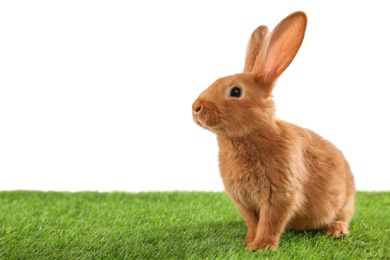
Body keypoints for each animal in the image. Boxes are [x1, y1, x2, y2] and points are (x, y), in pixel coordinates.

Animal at [192, 11, 356, 251]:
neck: (247, 136)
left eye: (235, 91)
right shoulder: (244, 201)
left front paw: (261, 246)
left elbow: (271, 221)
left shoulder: (279, 194)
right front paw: (249, 240)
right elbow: (253, 222)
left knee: (343, 216)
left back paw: (336, 230)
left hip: (345, 201)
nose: (195, 108)